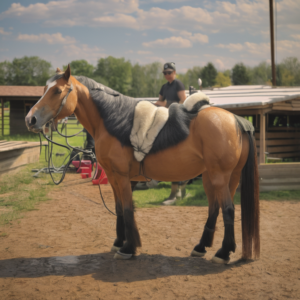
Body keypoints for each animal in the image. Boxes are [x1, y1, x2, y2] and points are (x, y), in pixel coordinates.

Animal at [25, 65, 260, 262]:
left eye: (57, 91)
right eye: (45, 89)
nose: (31, 119)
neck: (113, 120)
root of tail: (237, 120)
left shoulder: (121, 177)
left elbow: (128, 209)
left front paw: (128, 248)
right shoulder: (113, 177)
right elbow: (120, 209)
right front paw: (119, 242)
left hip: (220, 177)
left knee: (228, 209)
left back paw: (223, 252)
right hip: (217, 177)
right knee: (215, 208)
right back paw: (201, 247)